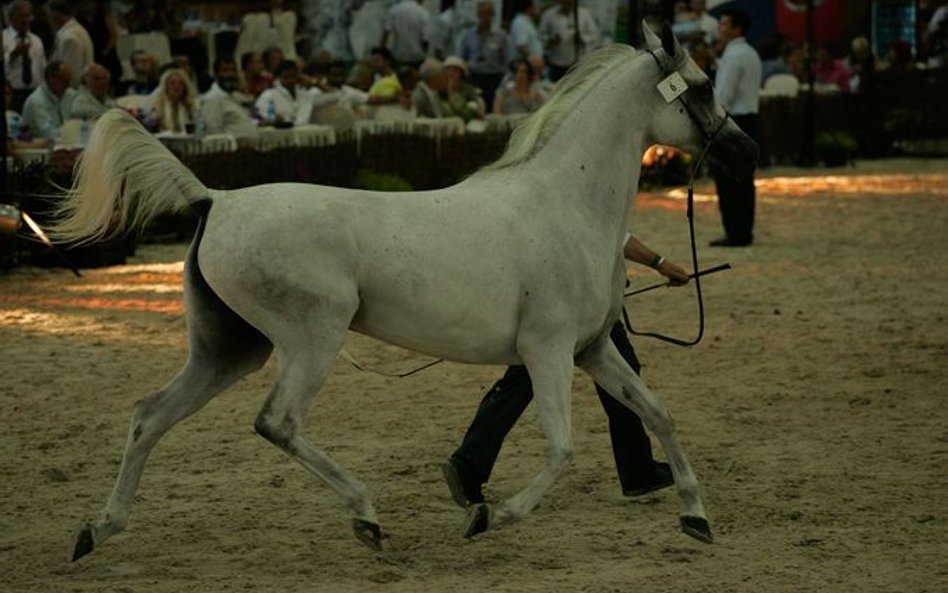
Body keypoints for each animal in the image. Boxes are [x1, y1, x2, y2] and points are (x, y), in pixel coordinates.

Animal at [59, 24, 756, 560]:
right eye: (702, 87)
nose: (745, 149)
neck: (566, 203)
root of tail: (216, 198)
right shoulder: (549, 351)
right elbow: (562, 449)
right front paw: (486, 516)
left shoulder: (592, 349)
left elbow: (656, 413)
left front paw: (695, 517)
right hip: (312, 338)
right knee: (277, 422)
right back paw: (367, 517)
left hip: (231, 348)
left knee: (150, 416)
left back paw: (97, 530)